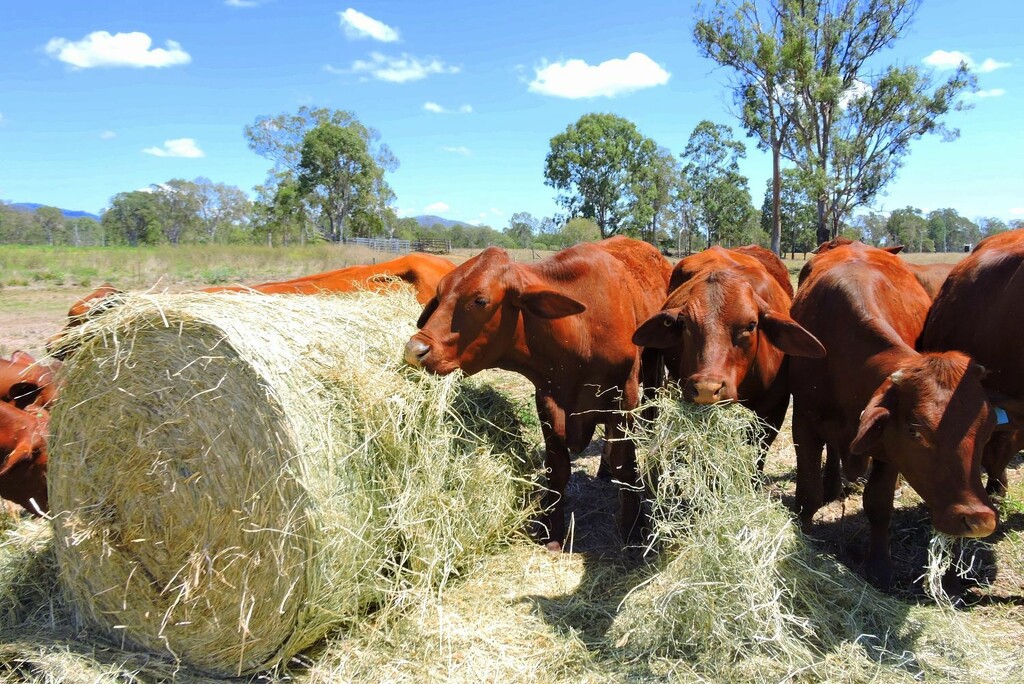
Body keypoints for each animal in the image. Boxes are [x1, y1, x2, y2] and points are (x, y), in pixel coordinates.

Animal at [399, 235, 671, 548]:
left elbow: (625, 465)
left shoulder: (623, 397)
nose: (415, 350)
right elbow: (557, 468)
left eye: (480, 301)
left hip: (653, 369)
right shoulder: (547, 399)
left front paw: (634, 528)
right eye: (440, 293)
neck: (579, 331)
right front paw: (552, 531)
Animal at [786, 240, 995, 589]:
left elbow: (879, 504)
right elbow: (807, 491)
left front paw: (880, 566)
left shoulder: (888, 448)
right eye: (915, 430)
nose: (978, 519)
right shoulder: (804, 421)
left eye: (986, 430)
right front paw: (803, 533)